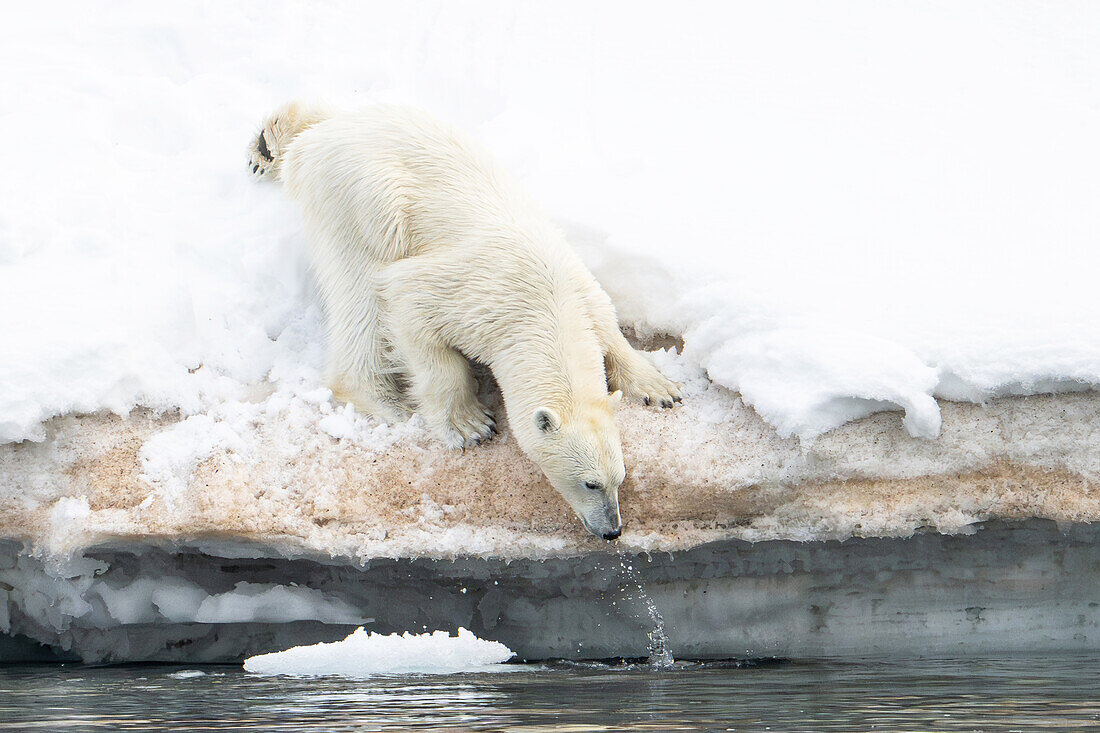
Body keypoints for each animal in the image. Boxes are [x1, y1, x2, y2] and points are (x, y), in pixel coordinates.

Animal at [249, 101, 677, 537]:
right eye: (590, 482)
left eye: (620, 477)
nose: (612, 529)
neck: (547, 303)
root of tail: (323, 133)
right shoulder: (476, 298)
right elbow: (409, 306)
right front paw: (470, 425)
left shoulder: (580, 287)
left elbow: (609, 329)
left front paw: (659, 388)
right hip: (359, 198)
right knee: (360, 288)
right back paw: (385, 401)